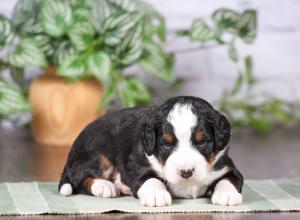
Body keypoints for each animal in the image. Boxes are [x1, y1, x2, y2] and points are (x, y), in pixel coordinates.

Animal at [58, 96, 244, 206]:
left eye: (202, 142)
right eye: (166, 145)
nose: (186, 172)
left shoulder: (226, 166)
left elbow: (229, 179)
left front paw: (227, 195)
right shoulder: (138, 165)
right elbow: (150, 179)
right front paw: (157, 195)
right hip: (97, 150)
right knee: (80, 178)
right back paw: (104, 186)